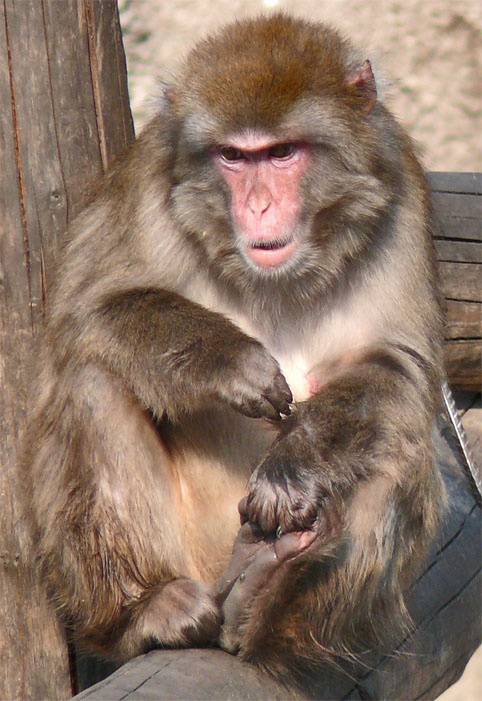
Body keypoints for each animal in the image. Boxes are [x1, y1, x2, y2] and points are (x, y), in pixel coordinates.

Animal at [23, 13, 445, 690]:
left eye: (282, 153)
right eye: (232, 157)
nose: (259, 205)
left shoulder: (400, 192)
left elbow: (398, 369)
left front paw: (292, 464)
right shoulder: (150, 180)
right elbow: (83, 314)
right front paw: (232, 363)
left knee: (395, 440)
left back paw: (265, 598)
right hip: (186, 554)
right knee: (93, 380)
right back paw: (149, 609)